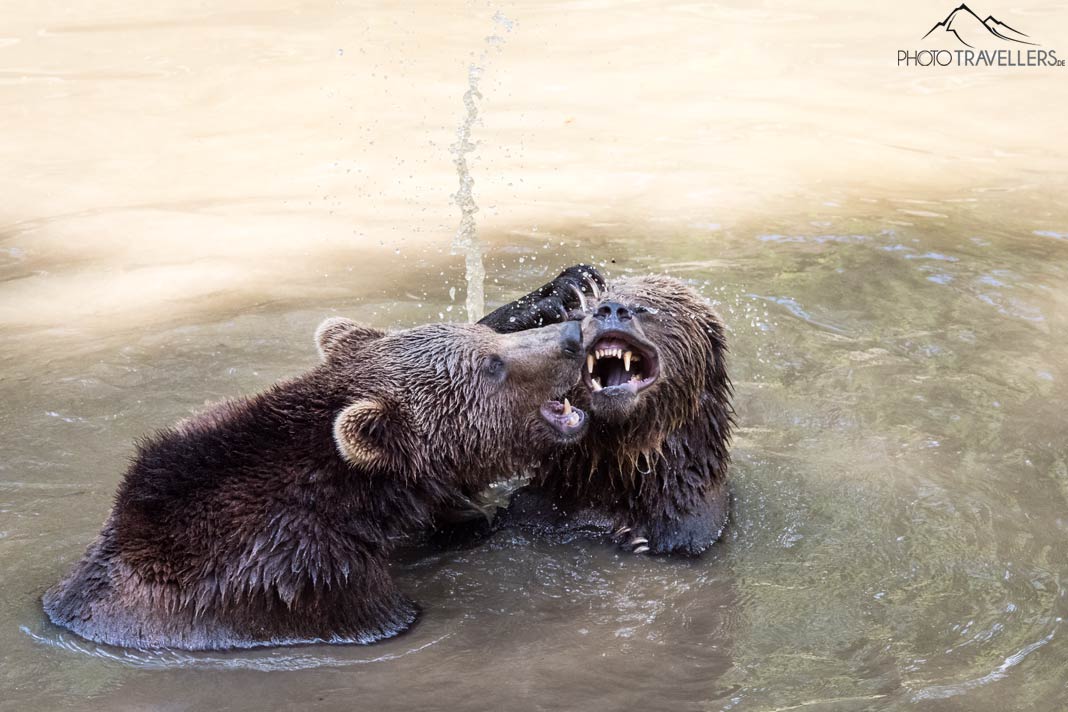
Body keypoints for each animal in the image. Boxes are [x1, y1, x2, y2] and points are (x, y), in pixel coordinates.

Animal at [478, 265, 733, 555]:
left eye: (644, 308)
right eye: (583, 312)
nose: (610, 310)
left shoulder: (689, 525)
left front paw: (632, 538)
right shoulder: (533, 508)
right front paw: (565, 288)